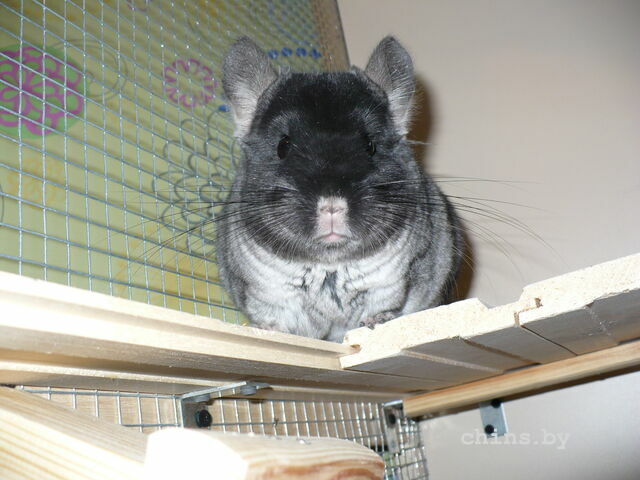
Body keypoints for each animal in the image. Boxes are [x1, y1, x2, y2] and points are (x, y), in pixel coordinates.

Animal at [216, 36, 463, 342]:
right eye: (282, 146)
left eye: (370, 145)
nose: (332, 205)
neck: (329, 264)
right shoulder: (266, 293)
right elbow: (274, 319)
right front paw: (266, 330)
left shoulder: (392, 282)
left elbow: (385, 306)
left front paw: (376, 322)